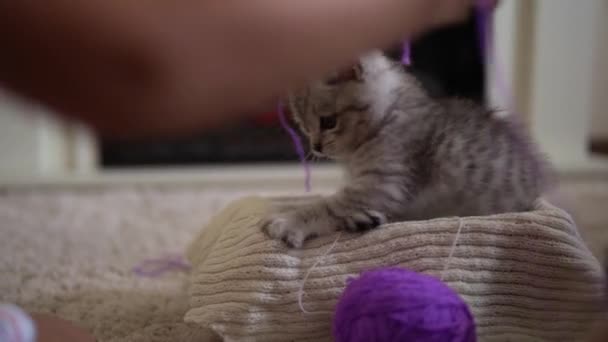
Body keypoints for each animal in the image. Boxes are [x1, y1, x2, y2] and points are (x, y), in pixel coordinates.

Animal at [264, 50, 548, 247]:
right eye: (304, 127)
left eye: (328, 122)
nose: (317, 146)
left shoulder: (383, 182)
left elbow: (329, 205)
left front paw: (289, 220)